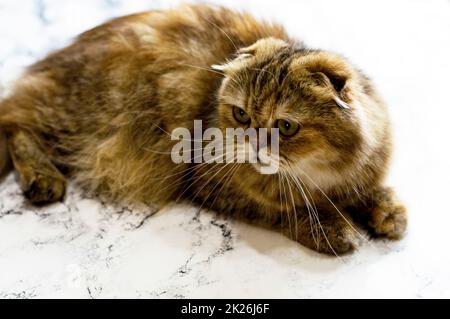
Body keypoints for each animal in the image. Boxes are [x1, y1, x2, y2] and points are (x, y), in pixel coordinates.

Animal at [0, 4, 408, 255]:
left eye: (286, 126)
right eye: (241, 115)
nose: (251, 144)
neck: (319, 174)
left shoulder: (363, 170)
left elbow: (375, 192)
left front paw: (389, 215)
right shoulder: (212, 182)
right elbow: (291, 211)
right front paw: (336, 229)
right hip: (81, 118)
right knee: (15, 124)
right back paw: (43, 181)